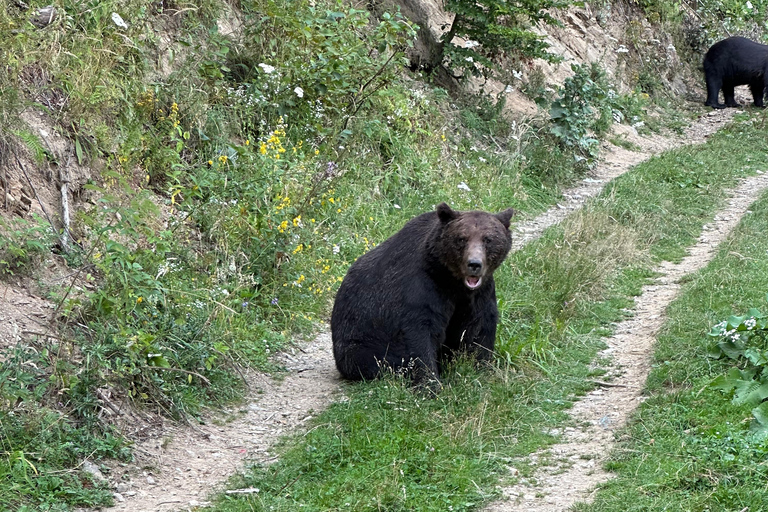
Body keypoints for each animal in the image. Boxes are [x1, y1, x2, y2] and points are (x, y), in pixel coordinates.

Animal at [332, 202, 516, 386]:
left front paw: (481, 368)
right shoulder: (424, 287)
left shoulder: (478, 294)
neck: (452, 281)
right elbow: (420, 333)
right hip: (360, 340)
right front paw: (430, 382)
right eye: (462, 238)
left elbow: (479, 326)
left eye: (488, 239)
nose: (474, 264)